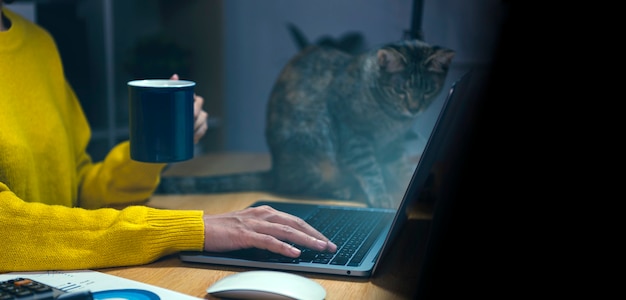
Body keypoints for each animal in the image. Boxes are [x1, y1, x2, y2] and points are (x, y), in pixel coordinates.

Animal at [155, 38, 448, 209]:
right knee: (298, 185)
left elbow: (399, 166)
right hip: (315, 152)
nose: (414, 107)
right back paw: (343, 189)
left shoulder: (394, 143)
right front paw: (381, 196)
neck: (392, 120)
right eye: (400, 90)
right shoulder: (353, 133)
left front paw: (404, 187)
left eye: (428, 91)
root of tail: (276, 168)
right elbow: (369, 169)